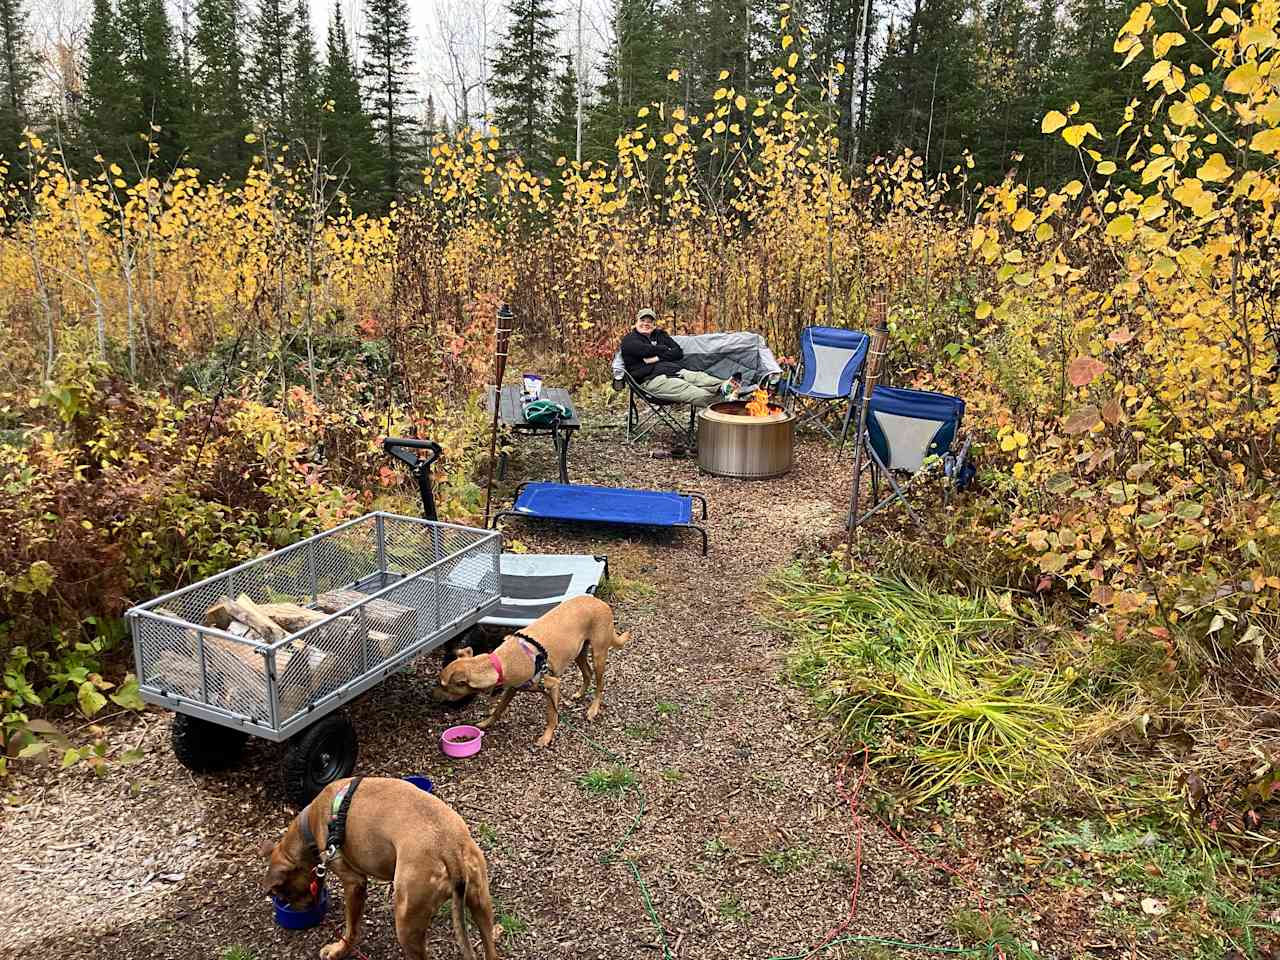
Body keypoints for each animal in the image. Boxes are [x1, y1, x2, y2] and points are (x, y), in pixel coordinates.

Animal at [259, 778, 499, 960]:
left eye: (283, 893)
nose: (298, 908)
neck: (308, 825)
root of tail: (449, 847)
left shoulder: (354, 883)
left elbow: (351, 928)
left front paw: (339, 950)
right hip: (481, 903)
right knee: (491, 950)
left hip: (406, 921)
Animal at [430, 599, 629, 747]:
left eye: (442, 685)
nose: (432, 696)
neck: (500, 663)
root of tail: (599, 601)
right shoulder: (512, 688)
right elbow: (499, 708)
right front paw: (487, 723)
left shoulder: (552, 685)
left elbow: (551, 716)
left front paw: (547, 737)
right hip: (579, 652)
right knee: (587, 674)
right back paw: (579, 694)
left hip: (599, 654)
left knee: (600, 684)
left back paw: (593, 710)